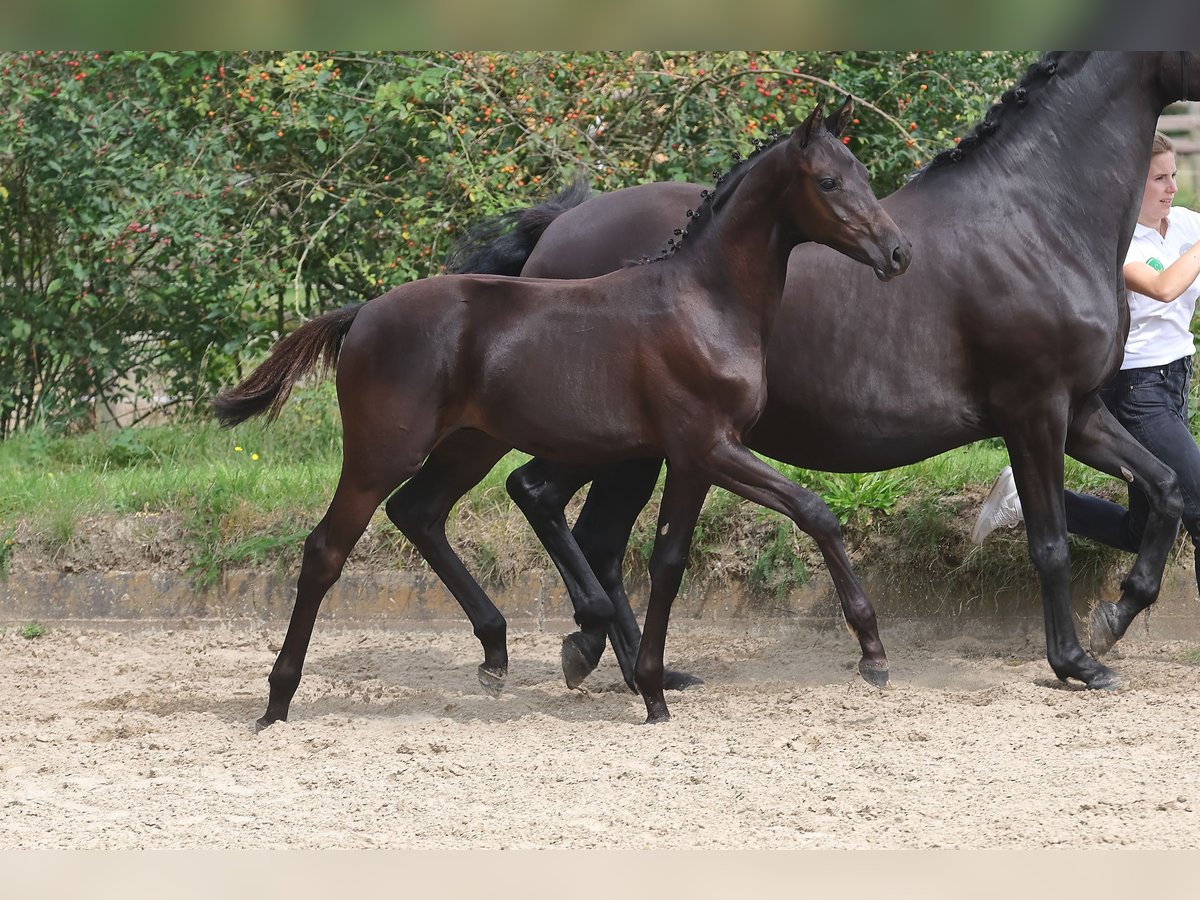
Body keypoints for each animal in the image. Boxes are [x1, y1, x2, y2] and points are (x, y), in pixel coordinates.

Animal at [213, 102, 907, 729]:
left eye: (864, 174)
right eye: (829, 181)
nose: (898, 253)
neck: (702, 303)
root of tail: (362, 314)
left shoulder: (691, 459)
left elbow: (668, 562)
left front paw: (653, 691)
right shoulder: (713, 447)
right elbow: (814, 511)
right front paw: (873, 655)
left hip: (470, 445)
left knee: (418, 511)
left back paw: (496, 653)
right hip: (380, 453)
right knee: (326, 551)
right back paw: (277, 703)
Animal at [444, 52, 1200, 696]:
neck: (1037, 221)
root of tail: (555, 230)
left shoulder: (1080, 410)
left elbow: (1165, 490)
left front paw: (1114, 619)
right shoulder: (1033, 409)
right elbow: (1050, 542)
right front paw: (1075, 661)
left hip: (635, 449)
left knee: (584, 528)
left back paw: (622, 663)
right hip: (618, 441)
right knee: (547, 502)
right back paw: (589, 648)